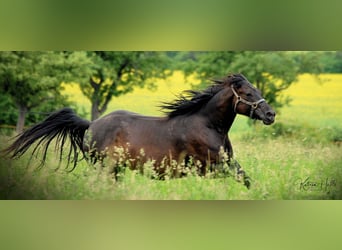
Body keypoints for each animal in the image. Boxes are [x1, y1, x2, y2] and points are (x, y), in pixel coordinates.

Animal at [3, 73, 276, 188]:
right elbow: (246, 179)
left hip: (116, 170)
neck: (206, 125)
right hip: (105, 167)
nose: (270, 114)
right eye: (248, 93)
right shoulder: (215, 165)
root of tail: (91, 125)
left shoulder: (215, 168)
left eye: (258, 90)